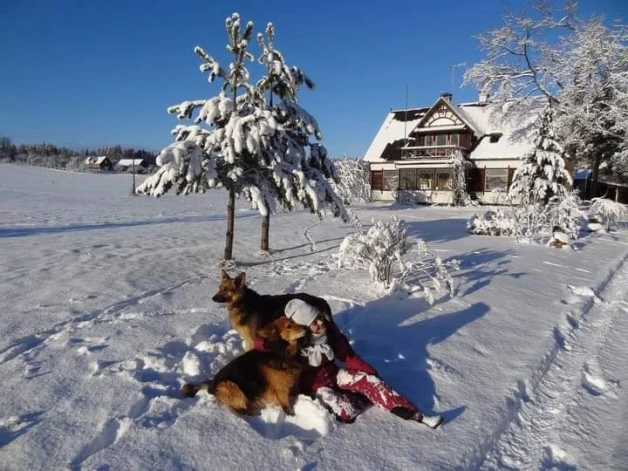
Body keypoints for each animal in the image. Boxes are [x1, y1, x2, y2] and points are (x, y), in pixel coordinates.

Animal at [180, 318, 308, 416]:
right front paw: (292, 417)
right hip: (229, 386)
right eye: (288, 326)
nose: (306, 328)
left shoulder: (292, 384)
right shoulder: (281, 390)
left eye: (294, 321)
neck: (281, 352)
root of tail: (213, 384)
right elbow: (288, 409)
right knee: (239, 408)